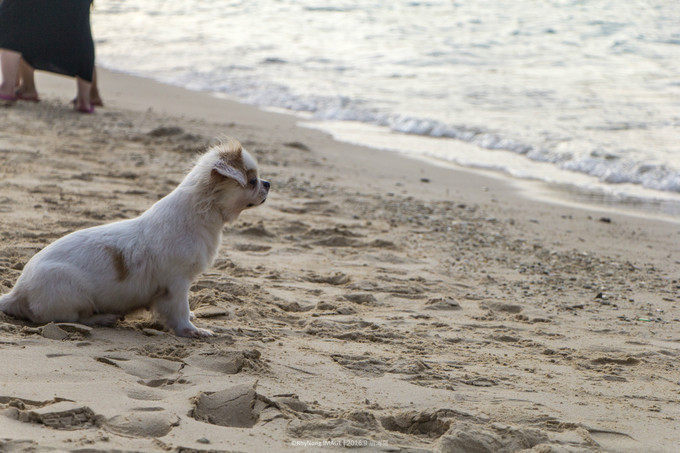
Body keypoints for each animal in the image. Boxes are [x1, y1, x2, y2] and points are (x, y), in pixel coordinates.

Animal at [0, 139, 270, 338]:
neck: (201, 214)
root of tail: (17, 291)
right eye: (252, 181)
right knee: (73, 318)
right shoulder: (177, 283)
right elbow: (179, 311)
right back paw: (105, 317)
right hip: (73, 293)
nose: (268, 183)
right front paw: (192, 331)